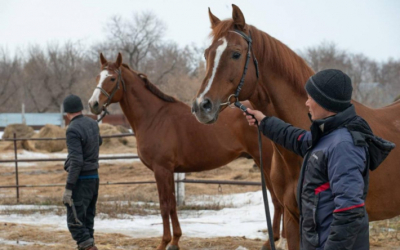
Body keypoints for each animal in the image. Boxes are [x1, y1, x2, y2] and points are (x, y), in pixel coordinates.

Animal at [87, 53, 282, 250]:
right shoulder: (170, 171)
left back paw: (272, 241)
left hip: (266, 162)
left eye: (112, 78)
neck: (154, 117)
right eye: (97, 77)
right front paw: (175, 241)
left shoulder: (161, 169)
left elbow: (164, 205)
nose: (93, 104)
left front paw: (163, 243)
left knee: (277, 199)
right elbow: (173, 204)